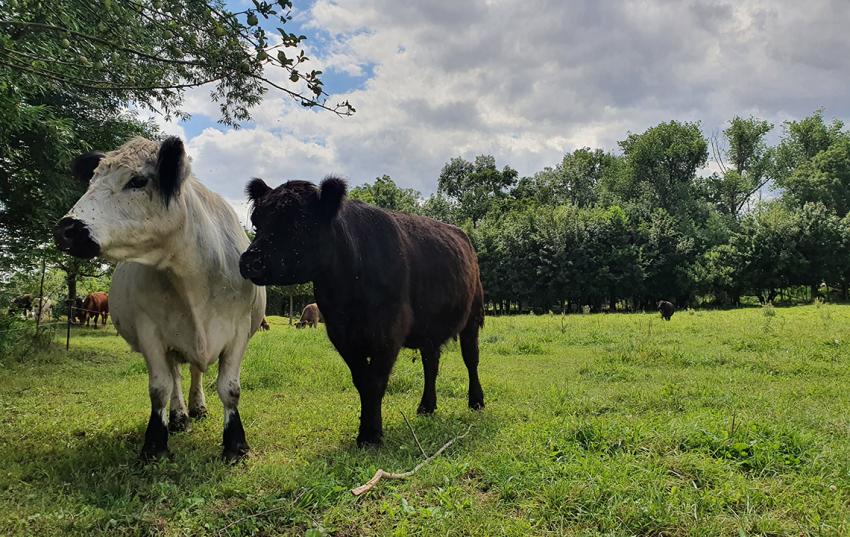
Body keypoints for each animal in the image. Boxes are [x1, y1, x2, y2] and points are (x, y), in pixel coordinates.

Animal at [54, 135, 264, 460]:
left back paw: (197, 407)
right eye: (91, 180)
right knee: (176, 375)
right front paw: (155, 444)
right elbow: (159, 388)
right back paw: (179, 417)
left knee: (194, 372)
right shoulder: (149, 332)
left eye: (138, 180)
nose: (66, 229)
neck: (195, 277)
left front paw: (236, 445)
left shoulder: (239, 330)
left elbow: (229, 388)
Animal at [238, 178, 484, 446]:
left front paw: (370, 433)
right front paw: (367, 429)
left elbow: (375, 381)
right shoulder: (341, 334)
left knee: (471, 359)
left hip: (473, 316)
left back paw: (476, 401)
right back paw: (426, 407)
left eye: (299, 222)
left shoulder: (389, 331)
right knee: (431, 364)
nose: (250, 261)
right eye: (257, 222)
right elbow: (361, 380)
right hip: (428, 329)